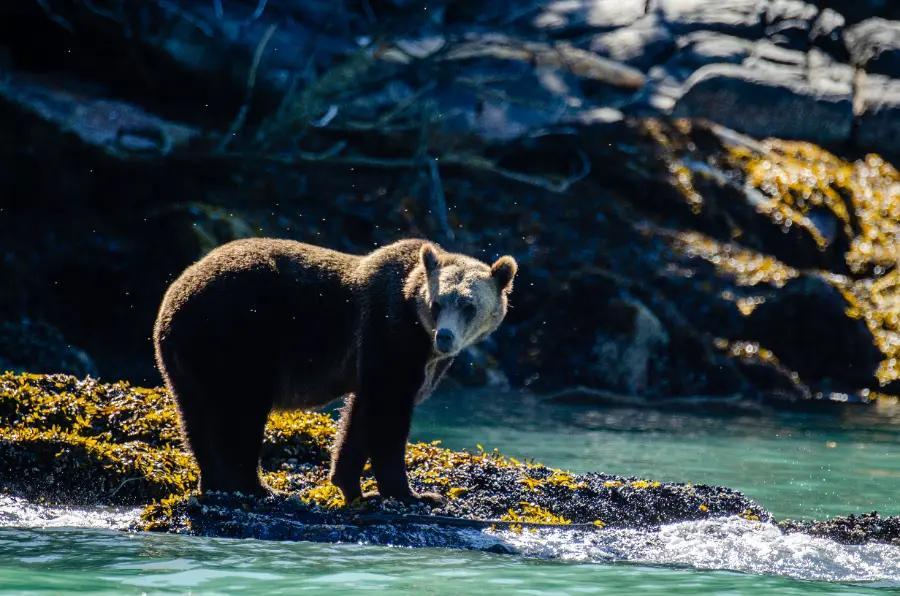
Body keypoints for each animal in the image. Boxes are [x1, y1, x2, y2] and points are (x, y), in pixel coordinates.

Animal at [153, 238, 517, 505]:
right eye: (437, 303)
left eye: (468, 305)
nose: (445, 336)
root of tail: (174, 301)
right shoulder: (390, 334)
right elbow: (388, 411)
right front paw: (414, 494)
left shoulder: (398, 358)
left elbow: (360, 414)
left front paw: (352, 486)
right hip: (239, 334)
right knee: (242, 410)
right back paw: (257, 486)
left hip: (187, 357)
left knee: (195, 417)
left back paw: (215, 482)